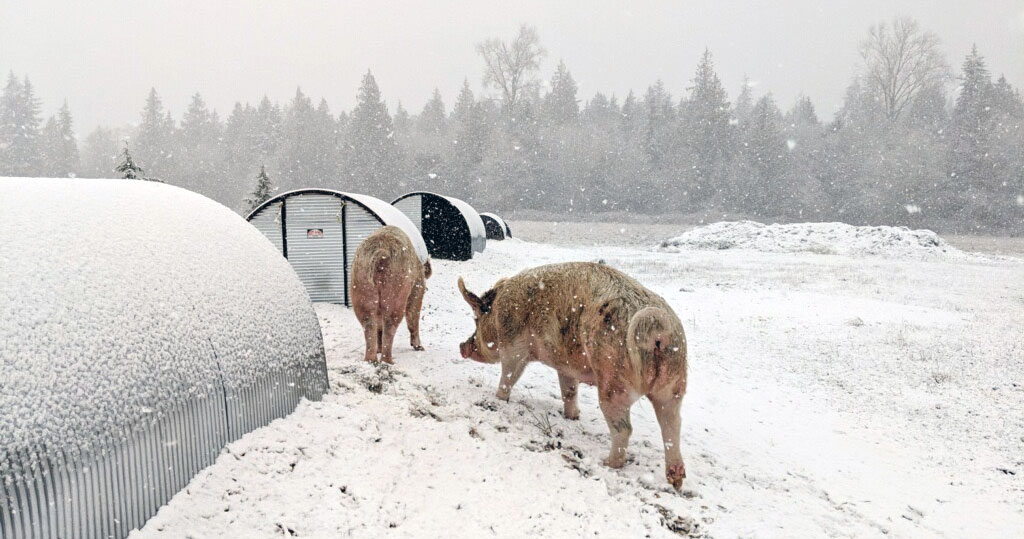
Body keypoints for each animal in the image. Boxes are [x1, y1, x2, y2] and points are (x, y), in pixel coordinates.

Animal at [350, 226, 431, 363]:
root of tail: (381, 252)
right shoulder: (417, 290)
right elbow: (413, 316)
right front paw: (420, 347)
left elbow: (379, 328)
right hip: (396, 291)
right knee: (390, 325)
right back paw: (388, 361)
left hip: (361, 288)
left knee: (369, 325)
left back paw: (370, 360)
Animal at [457, 262, 688, 489]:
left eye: (476, 319)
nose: (462, 346)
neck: (498, 312)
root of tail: (659, 332)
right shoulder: (565, 366)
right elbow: (568, 390)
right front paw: (573, 416)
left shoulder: (514, 348)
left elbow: (508, 376)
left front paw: (498, 398)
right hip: (674, 384)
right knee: (672, 426)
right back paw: (676, 479)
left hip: (614, 382)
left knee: (624, 429)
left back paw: (607, 463)